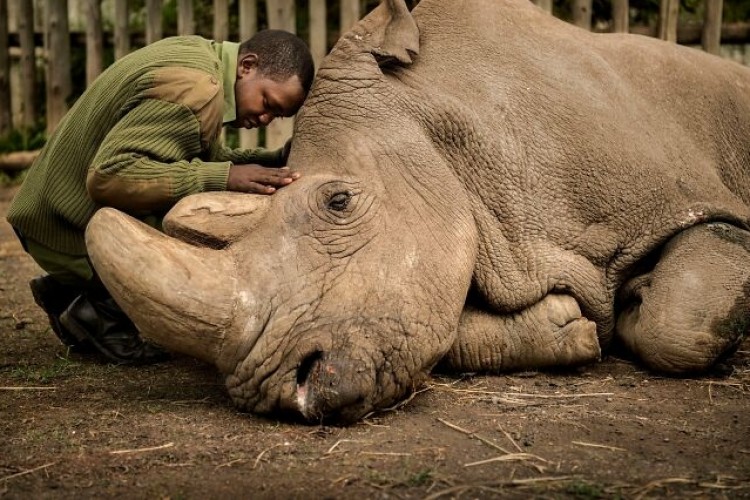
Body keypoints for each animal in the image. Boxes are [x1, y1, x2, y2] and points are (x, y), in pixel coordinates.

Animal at [85, 0, 748, 426]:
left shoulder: (685, 200)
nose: (282, 391)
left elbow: (677, 324)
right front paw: (568, 326)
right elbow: (443, 325)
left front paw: (636, 305)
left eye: (339, 202)